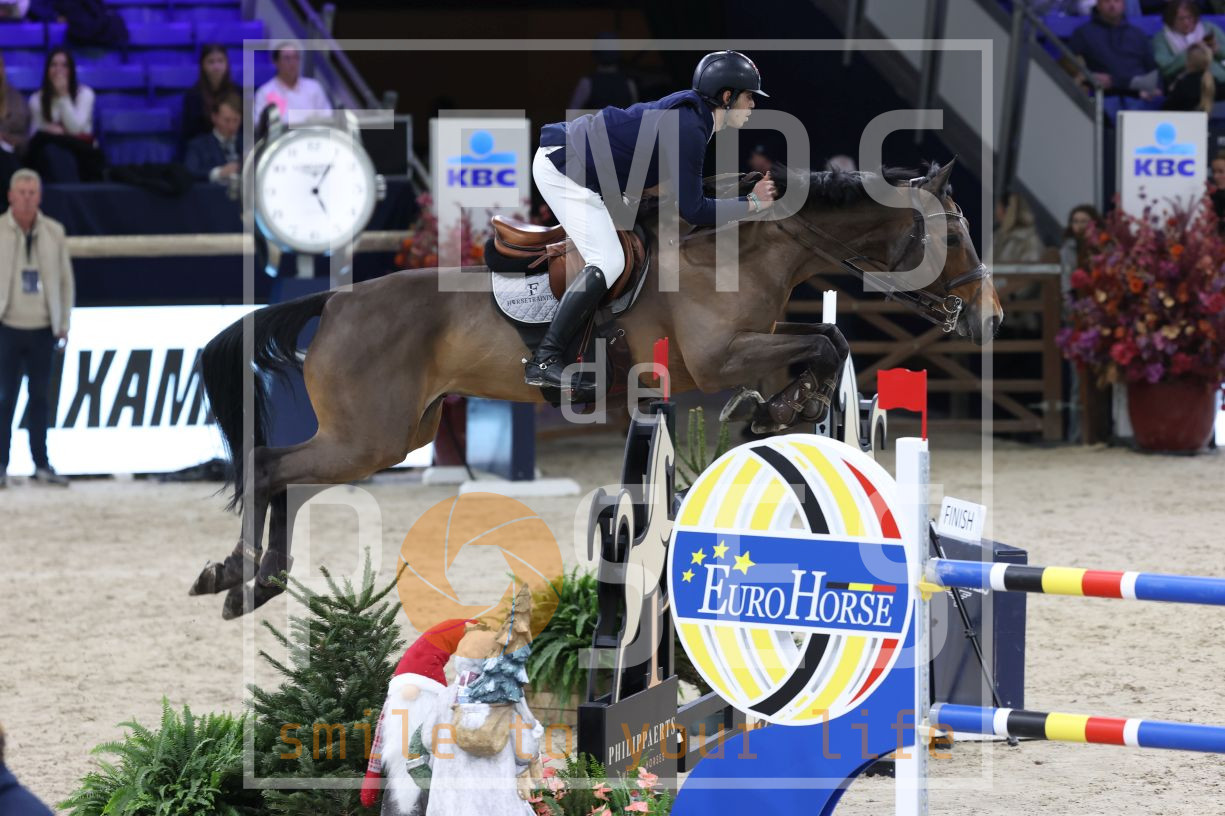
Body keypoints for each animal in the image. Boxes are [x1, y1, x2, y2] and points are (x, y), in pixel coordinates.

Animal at [190, 157, 1003, 619]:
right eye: (957, 233)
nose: (988, 315)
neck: (742, 253)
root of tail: (335, 302)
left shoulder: (755, 349)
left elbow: (822, 350)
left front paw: (778, 410)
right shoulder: (717, 358)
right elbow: (823, 344)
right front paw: (769, 410)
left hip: (395, 434)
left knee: (287, 479)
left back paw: (255, 582)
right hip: (370, 436)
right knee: (270, 466)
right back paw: (237, 575)